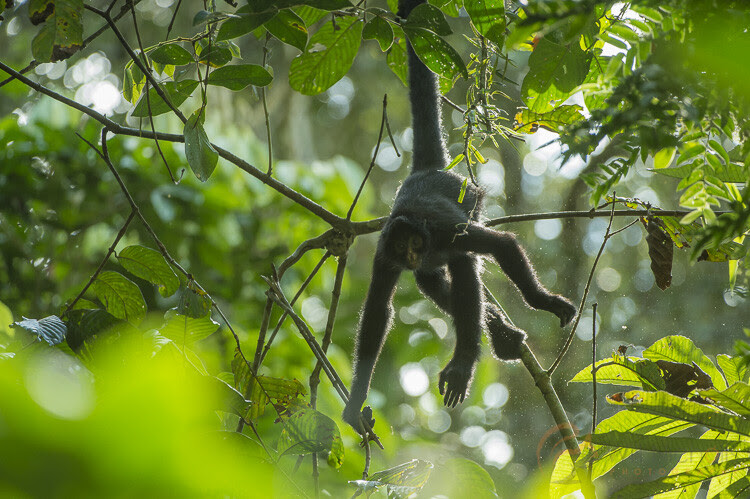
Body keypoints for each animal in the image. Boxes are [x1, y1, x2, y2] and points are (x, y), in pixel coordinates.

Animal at [341, 0, 577, 434]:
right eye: (402, 246)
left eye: (417, 241)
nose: (413, 254)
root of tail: (429, 170)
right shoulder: (385, 253)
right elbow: (378, 314)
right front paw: (354, 402)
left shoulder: (444, 232)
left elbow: (502, 245)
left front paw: (544, 301)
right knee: (433, 281)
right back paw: (499, 333)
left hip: (472, 201)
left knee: (465, 264)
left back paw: (466, 360)